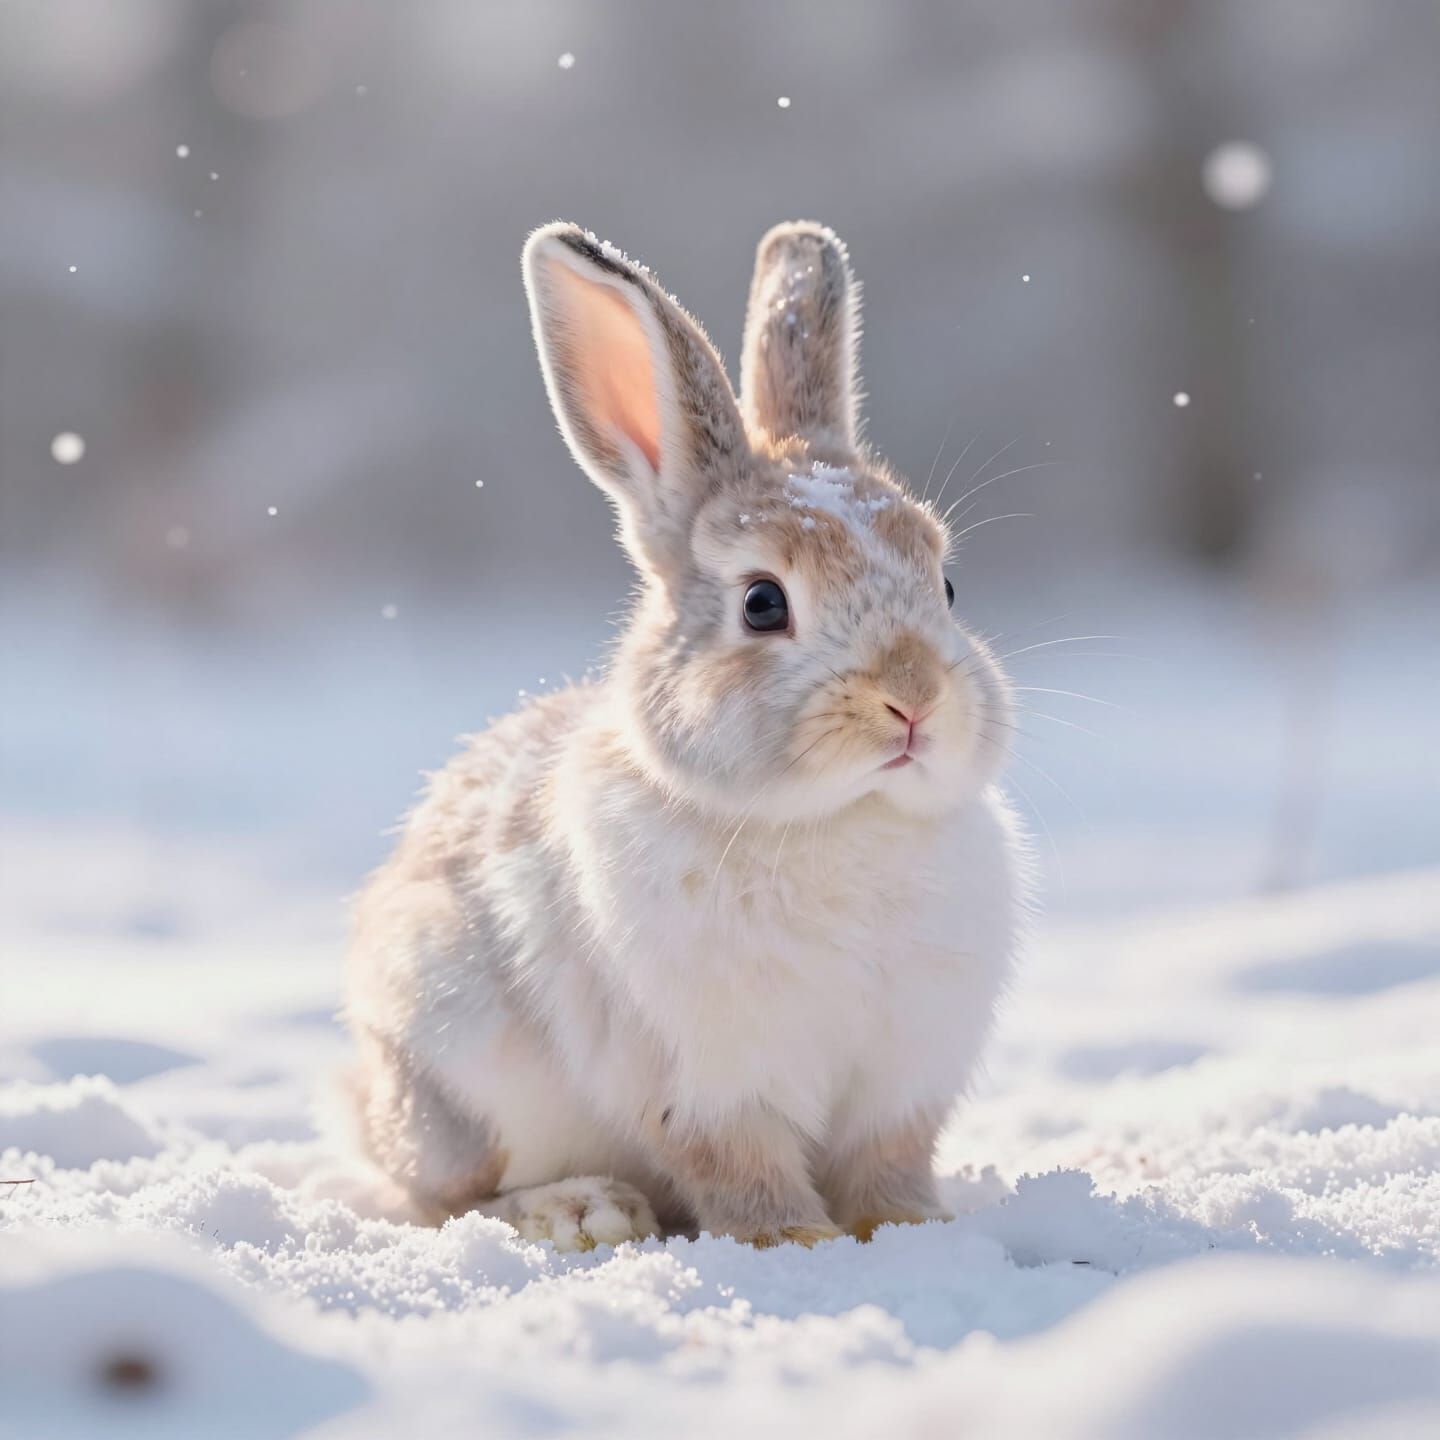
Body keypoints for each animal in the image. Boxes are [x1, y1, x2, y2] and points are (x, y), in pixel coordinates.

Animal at [343, 219, 1028, 1250]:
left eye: (946, 586)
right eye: (762, 603)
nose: (912, 700)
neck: (837, 821)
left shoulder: (902, 1082)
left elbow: (888, 1166)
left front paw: (913, 1231)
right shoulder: (710, 1080)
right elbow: (741, 1171)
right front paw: (799, 1243)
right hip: (454, 1079)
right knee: (446, 1198)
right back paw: (582, 1212)